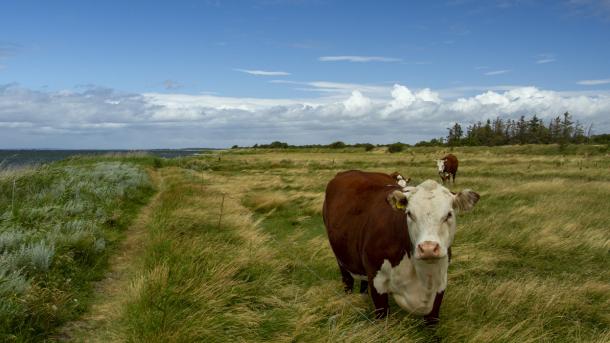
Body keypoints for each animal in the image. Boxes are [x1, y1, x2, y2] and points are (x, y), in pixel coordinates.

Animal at [320, 171, 478, 326]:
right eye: (409, 214)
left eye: (449, 214)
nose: (428, 248)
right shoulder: (377, 282)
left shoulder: (440, 285)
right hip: (342, 260)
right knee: (347, 281)